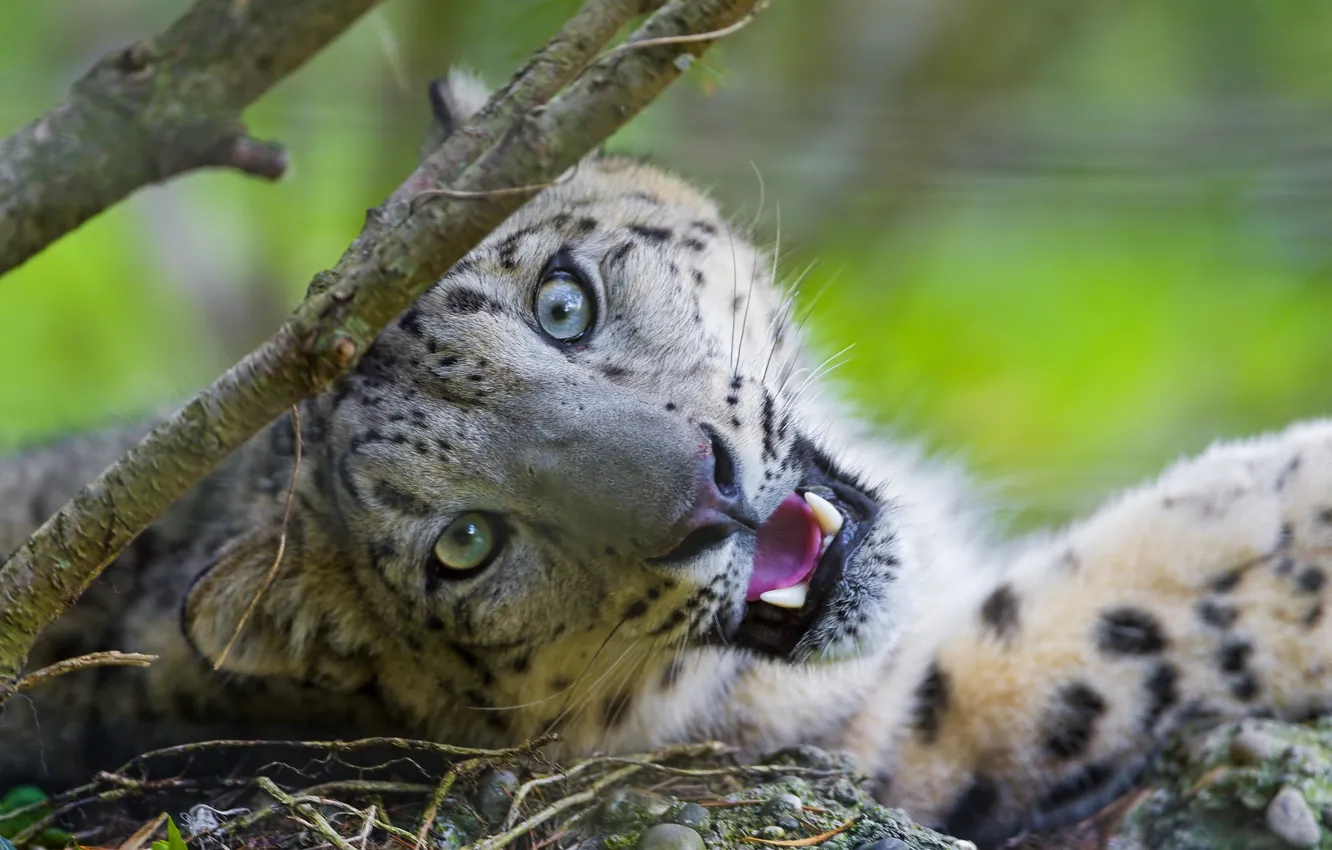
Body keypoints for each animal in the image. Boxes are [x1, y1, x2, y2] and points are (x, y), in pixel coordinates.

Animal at [1, 71, 1329, 848]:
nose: (707, 493)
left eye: (563, 301)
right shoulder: (888, 726)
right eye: (465, 545)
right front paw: (1299, 498)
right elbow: (1112, 622)